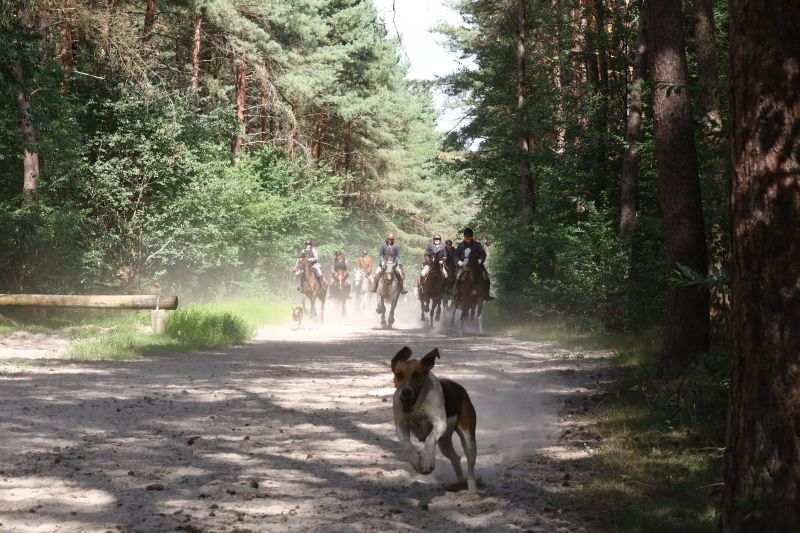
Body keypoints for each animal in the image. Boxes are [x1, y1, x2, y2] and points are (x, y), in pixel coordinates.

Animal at [391, 346, 477, 491]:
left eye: (416, 374)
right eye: (399, 375)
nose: (406, 392)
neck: (417, 404)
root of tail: (461, 389)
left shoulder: (440, 423)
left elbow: (430, 438)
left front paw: (426, 461)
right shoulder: (401, 425)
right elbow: (406, 444)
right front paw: (416, 460)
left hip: (468, 439)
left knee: (470, 466)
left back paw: (472, 490)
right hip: (444, 442)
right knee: (455, 458)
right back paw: (460, 481)